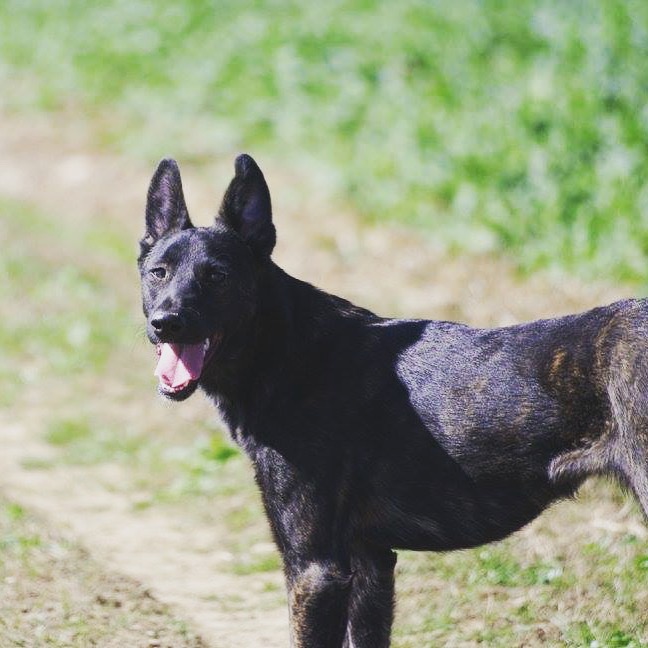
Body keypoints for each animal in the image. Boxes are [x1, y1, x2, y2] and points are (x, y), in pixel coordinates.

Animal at [137, 156, 648, 648]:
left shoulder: (315, 569)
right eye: (158, 273)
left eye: (218, 276)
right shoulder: (370, 563)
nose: (165, 322)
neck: (286, 350)